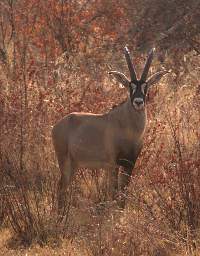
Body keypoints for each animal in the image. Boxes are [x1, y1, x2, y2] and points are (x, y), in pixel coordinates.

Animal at [51, 46, 167, 210]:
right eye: (130, 86)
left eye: (146, 86)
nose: (138, 102)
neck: (129, 128)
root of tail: (57, 126)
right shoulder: (113, 164)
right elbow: (114, 191)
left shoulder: (130, 163)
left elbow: (124, 190)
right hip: (64, 161)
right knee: (61, 186)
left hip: (74, 164)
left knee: (63, 186)